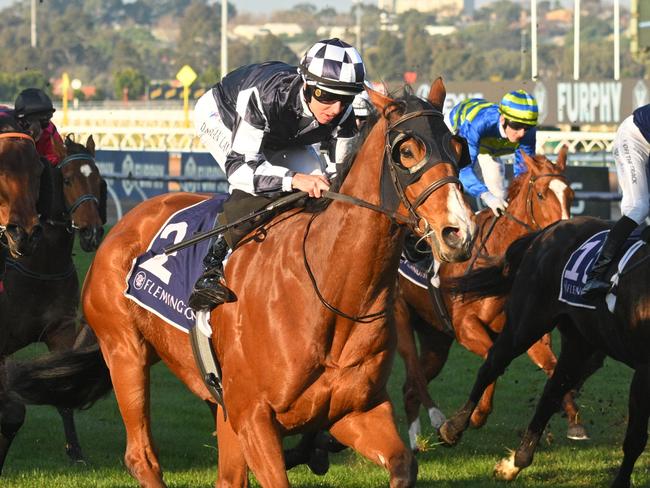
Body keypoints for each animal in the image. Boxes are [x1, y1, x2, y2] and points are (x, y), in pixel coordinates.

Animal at [0, 135, 104, 470]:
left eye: (98, 180)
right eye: (67, 180)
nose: (92, 232)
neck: (41, 266)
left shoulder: (61, 331)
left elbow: (64, 395)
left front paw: (75, 450)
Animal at [394, 147, 588, 448]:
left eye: (571, 195)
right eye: (541, 195)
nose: (569, 236)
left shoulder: (529, 333)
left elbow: (552, 365)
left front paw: (575, 420)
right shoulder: (466, 328)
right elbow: (492, 360)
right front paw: (474, 417)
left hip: (436, 340)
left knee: (411, 385)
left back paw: (416, 443)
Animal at [438, 215, 644, 486]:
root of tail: (549, 229)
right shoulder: (644, 370)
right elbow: (636, 438)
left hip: (579, 341)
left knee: (552, 390)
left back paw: (516, 462)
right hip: (526, 323)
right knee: (492, 365)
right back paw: (454, 428)